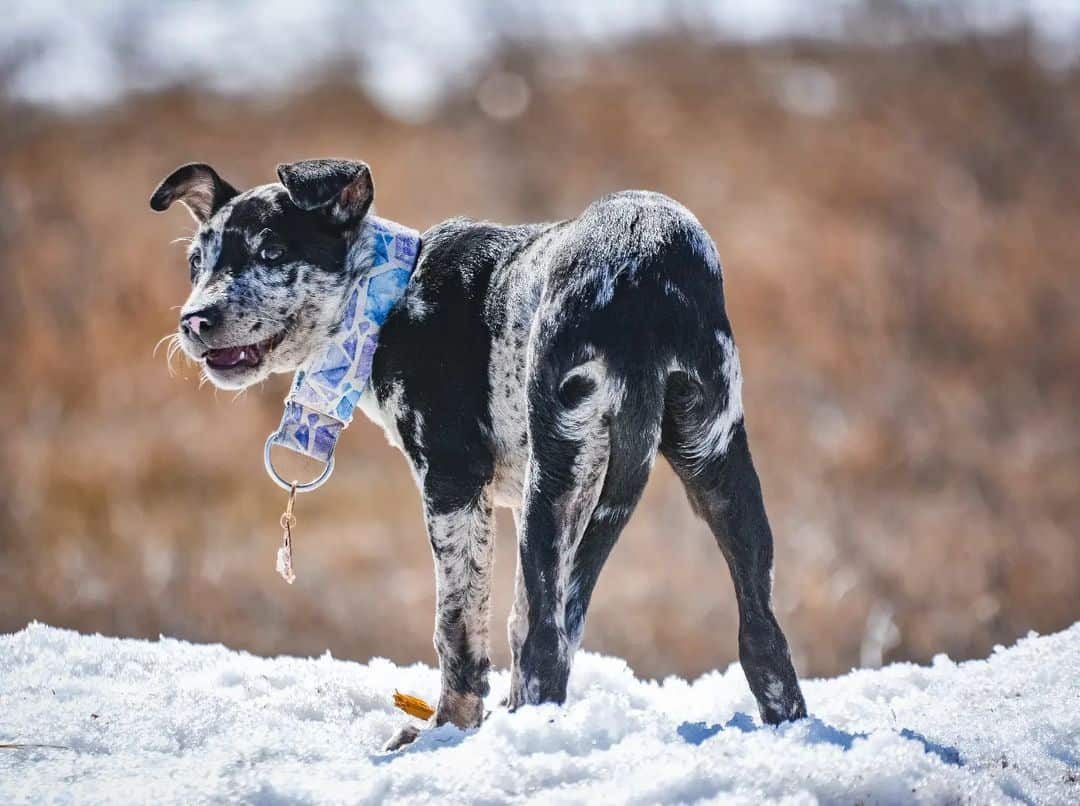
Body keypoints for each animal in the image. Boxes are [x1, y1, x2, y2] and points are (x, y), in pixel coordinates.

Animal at [154, 156, 812, 747]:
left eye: (271, 253)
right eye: (195, 264)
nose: (194, 321)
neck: (389, 299)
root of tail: (640, 269)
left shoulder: (454, 487)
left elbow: (460, 629)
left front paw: (448, 731)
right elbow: (516, 621)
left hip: (558, 479)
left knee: (547, 642)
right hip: (715, 463)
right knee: (762, 640)